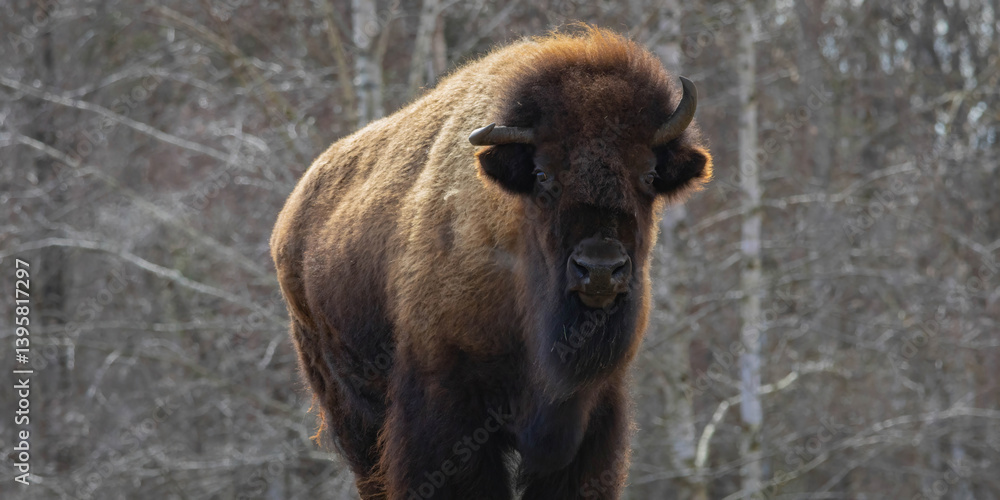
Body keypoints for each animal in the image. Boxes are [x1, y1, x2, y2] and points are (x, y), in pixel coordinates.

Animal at [270, 27, 712, 499]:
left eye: (648, 175)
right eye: (542, 175)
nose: (599, 269)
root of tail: (291, 217)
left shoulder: (594, 413)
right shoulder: (446, 409)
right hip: (349, 407)